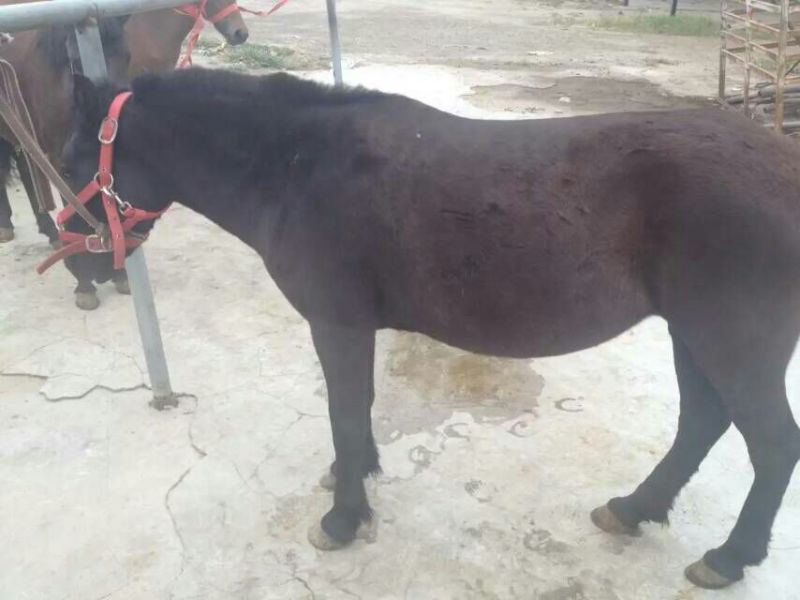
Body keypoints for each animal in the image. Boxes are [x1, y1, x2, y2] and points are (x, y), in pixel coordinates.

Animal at [0, 0, 248, 309]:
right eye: (74, 58)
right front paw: (84, 284)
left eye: (126, 56)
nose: (240, 33)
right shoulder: (60, 159)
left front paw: (119, 275)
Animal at [58, 69, 800, 590]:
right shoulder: (352, 325)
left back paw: (729, 557)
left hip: (731, 339)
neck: (296, 167)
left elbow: (345, 411)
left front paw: (343, 517)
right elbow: (358, 411)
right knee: (703, 422)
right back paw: (634, 507)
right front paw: (353, 473)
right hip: (693, 334)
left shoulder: (337, 322)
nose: (80, 263)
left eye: (72, 165)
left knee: (770, 443)